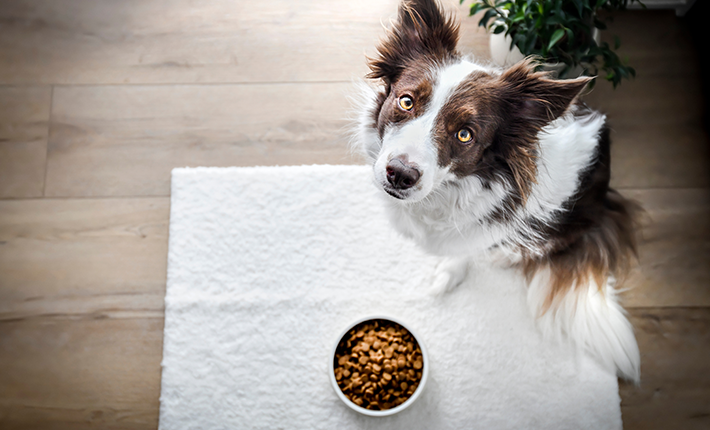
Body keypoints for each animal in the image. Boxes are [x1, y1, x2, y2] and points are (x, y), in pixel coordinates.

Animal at [358, 0, 644, 382]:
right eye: (406, 102)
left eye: (465, 134)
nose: (400, 175)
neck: (447, 191)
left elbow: (466, 248)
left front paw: (450, 272)